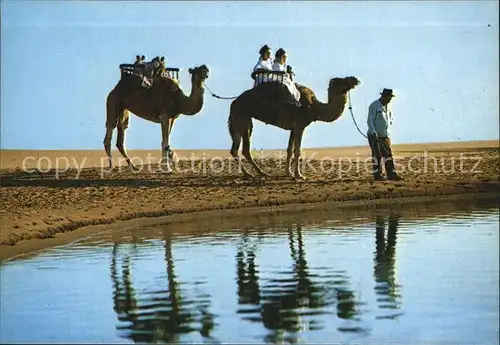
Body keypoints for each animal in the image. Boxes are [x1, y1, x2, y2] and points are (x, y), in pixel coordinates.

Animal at [229, 74, 362, 179]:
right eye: (342, 80)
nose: (356, 80)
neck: (314, 107)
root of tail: (234, 102)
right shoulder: (300, 126)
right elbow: (297, 151)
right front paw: (299, 175)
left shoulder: (293, 128)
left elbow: (289, 150)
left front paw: (289, 173)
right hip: (243, 118)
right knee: (245, 149)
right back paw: (257, 173)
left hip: (241, 121)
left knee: (234, 149)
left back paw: (252, 173)